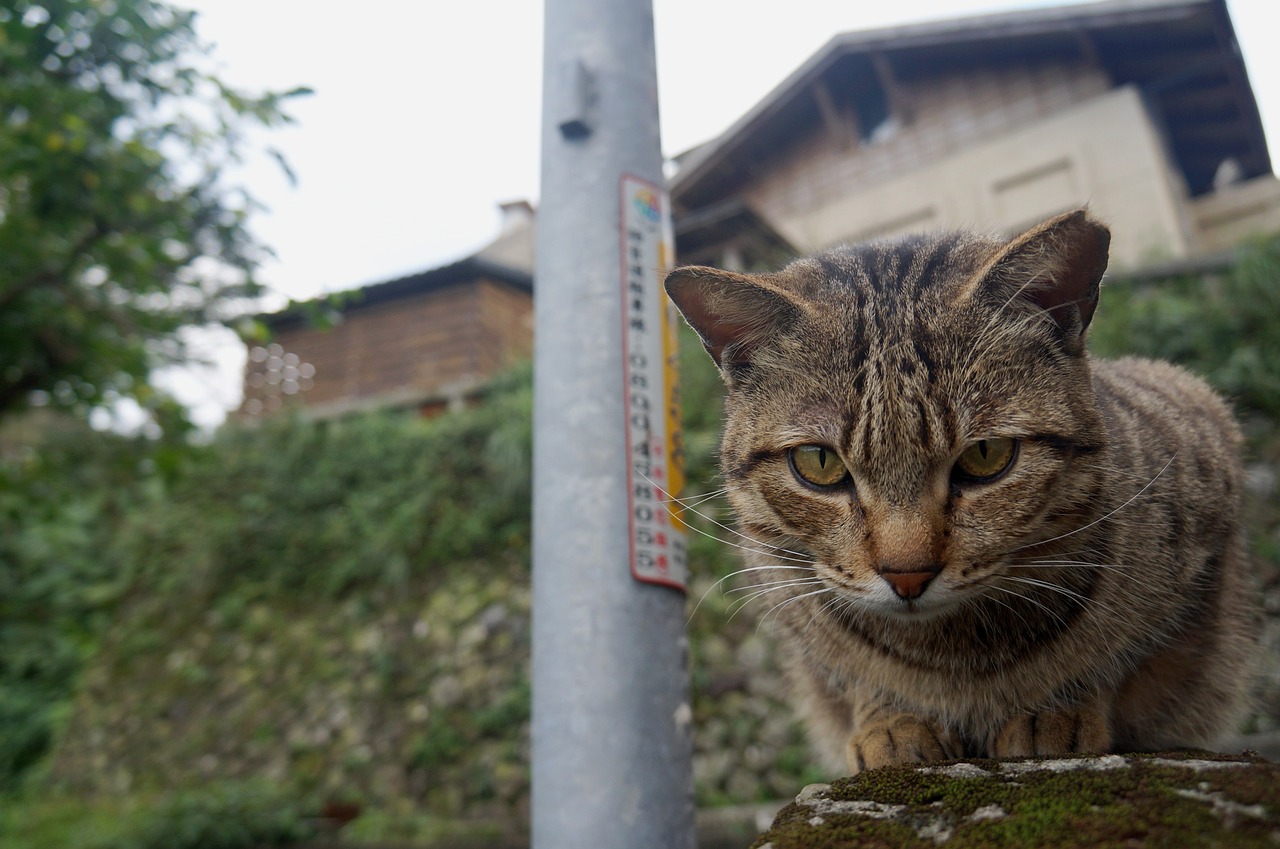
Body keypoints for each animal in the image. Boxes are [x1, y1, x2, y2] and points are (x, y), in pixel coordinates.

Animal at [670, 208, 1259, 773]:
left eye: (986, 455)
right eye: (819, 463)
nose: (907, 576)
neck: (954, 657)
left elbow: (1122, 661)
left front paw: (1054, 710)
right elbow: (853, 675)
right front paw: (891, 721)